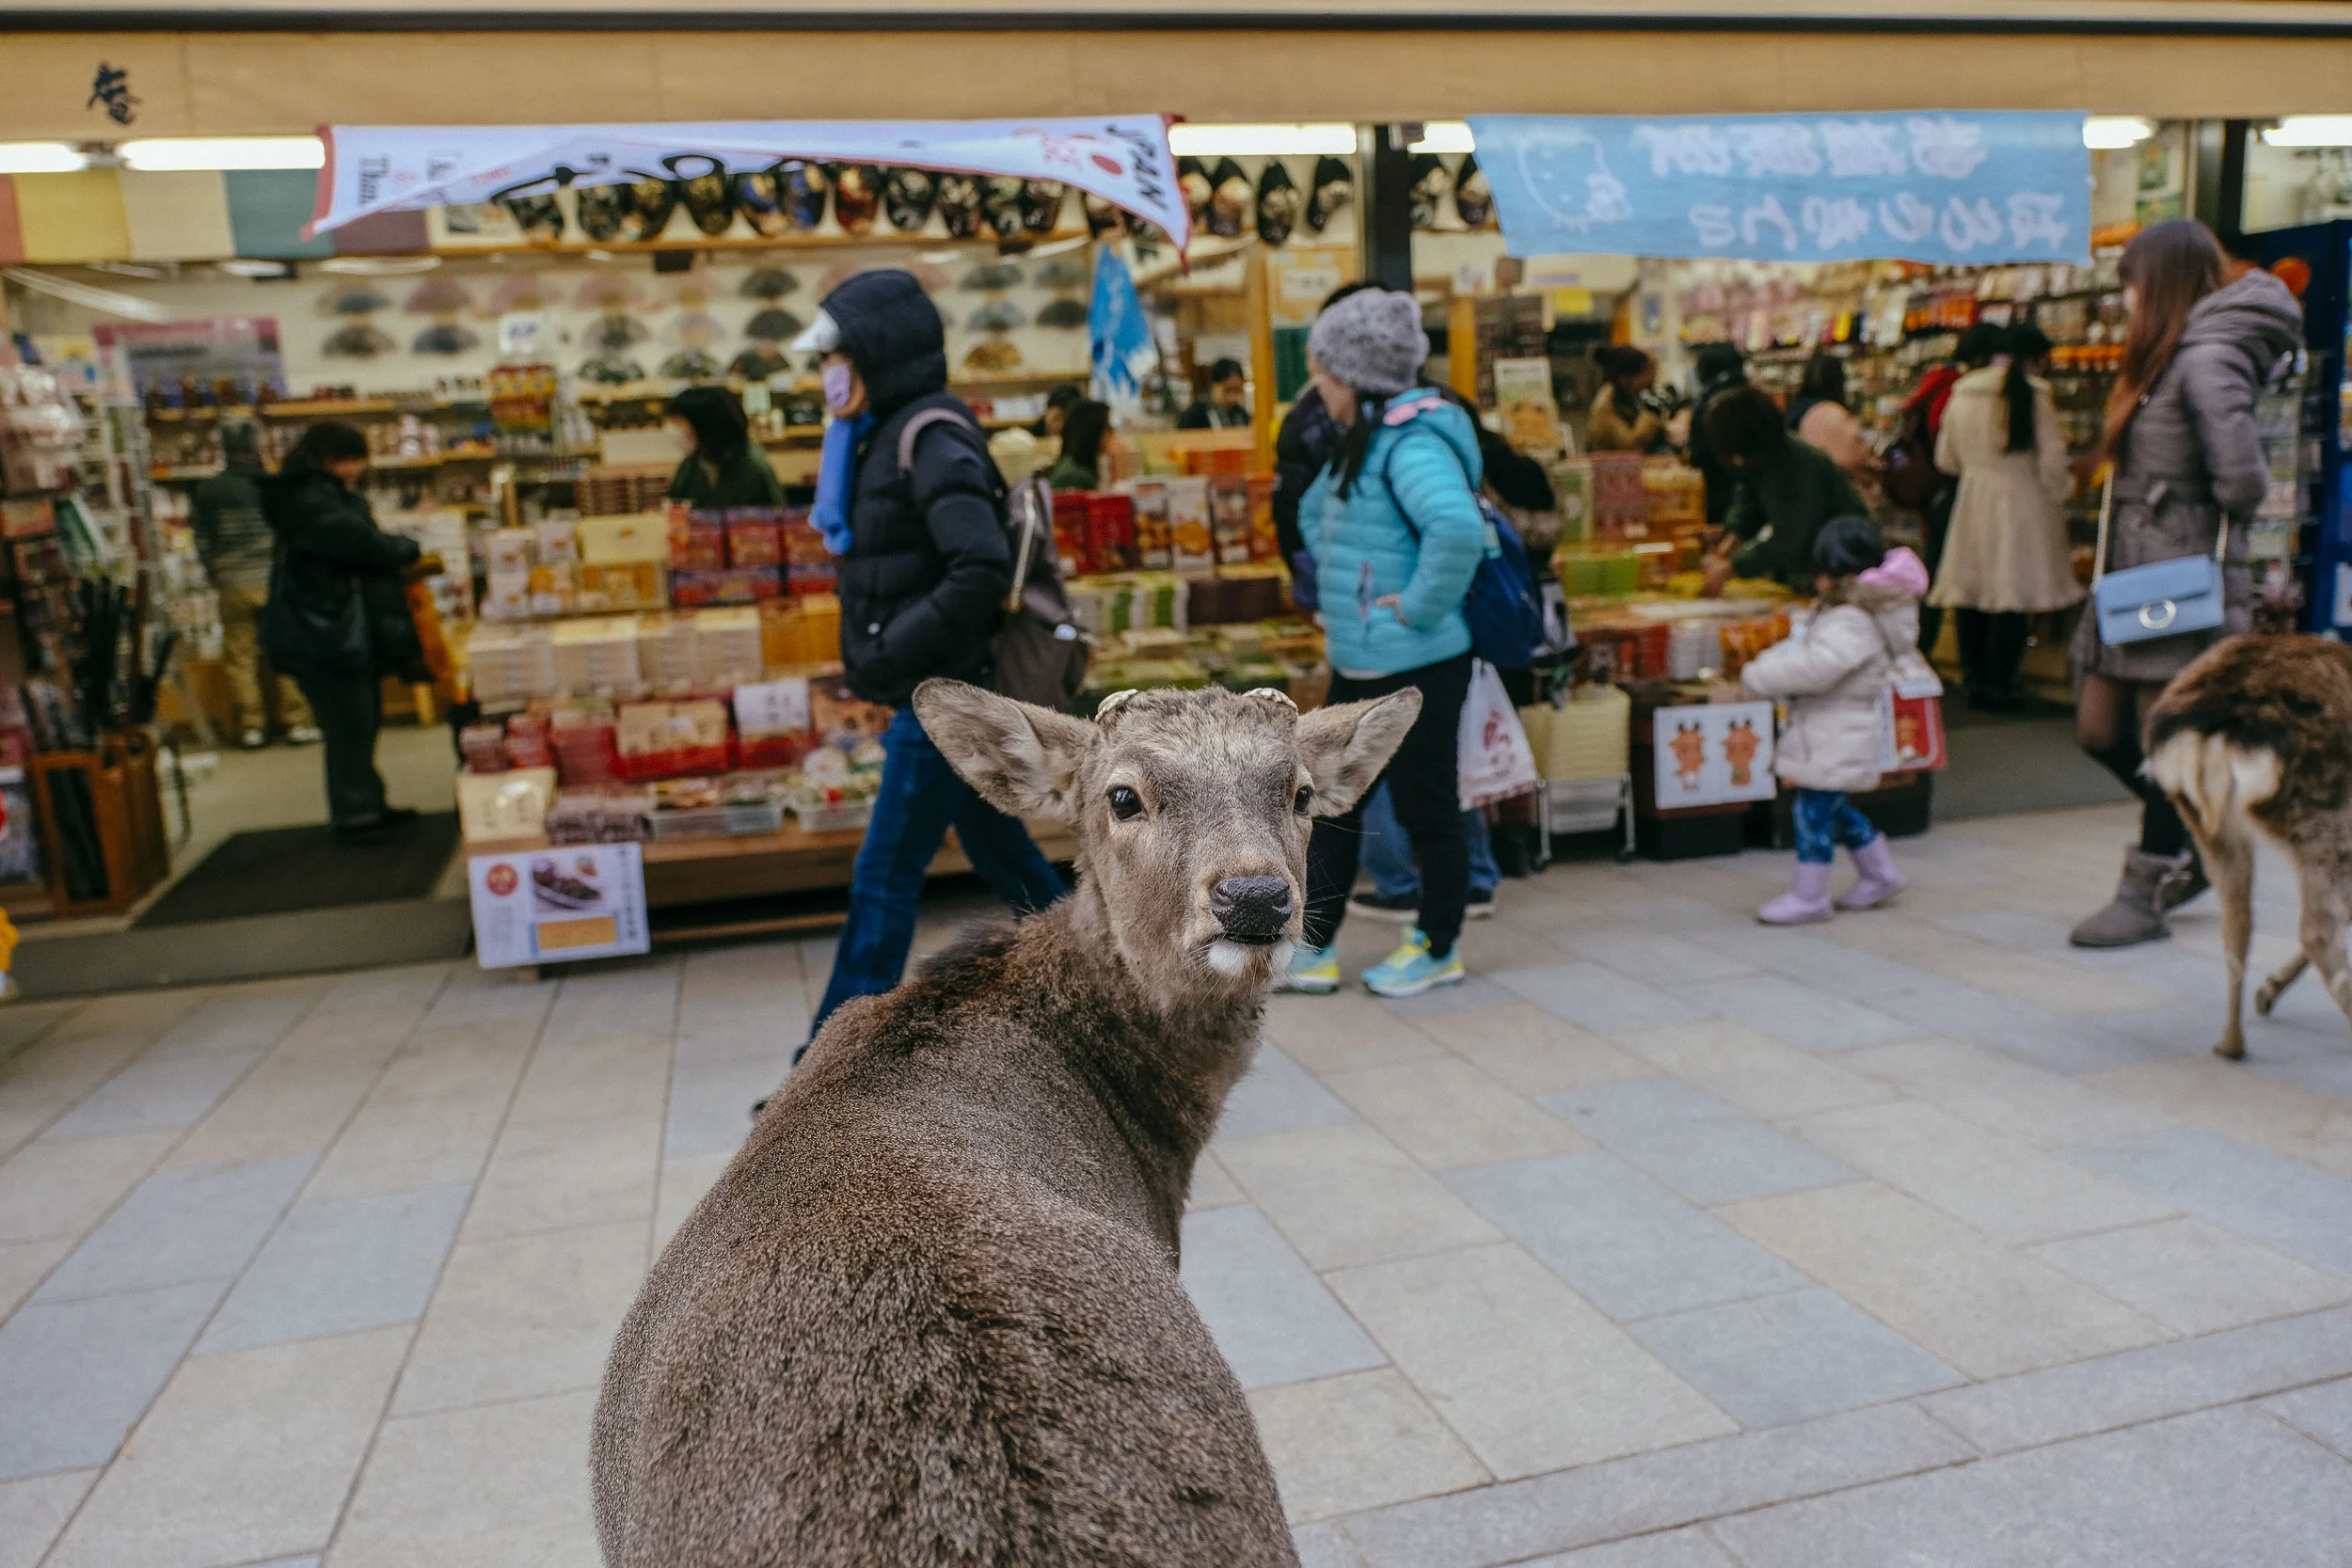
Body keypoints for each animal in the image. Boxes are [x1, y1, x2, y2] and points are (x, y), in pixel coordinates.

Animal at [2146, 633, 2352, 1061]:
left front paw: (2268, 992)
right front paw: (2270, 991)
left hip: (2207, 825)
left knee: (2238, 923)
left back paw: (2231, 1041)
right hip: (2325, 821)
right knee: (2318, 931)